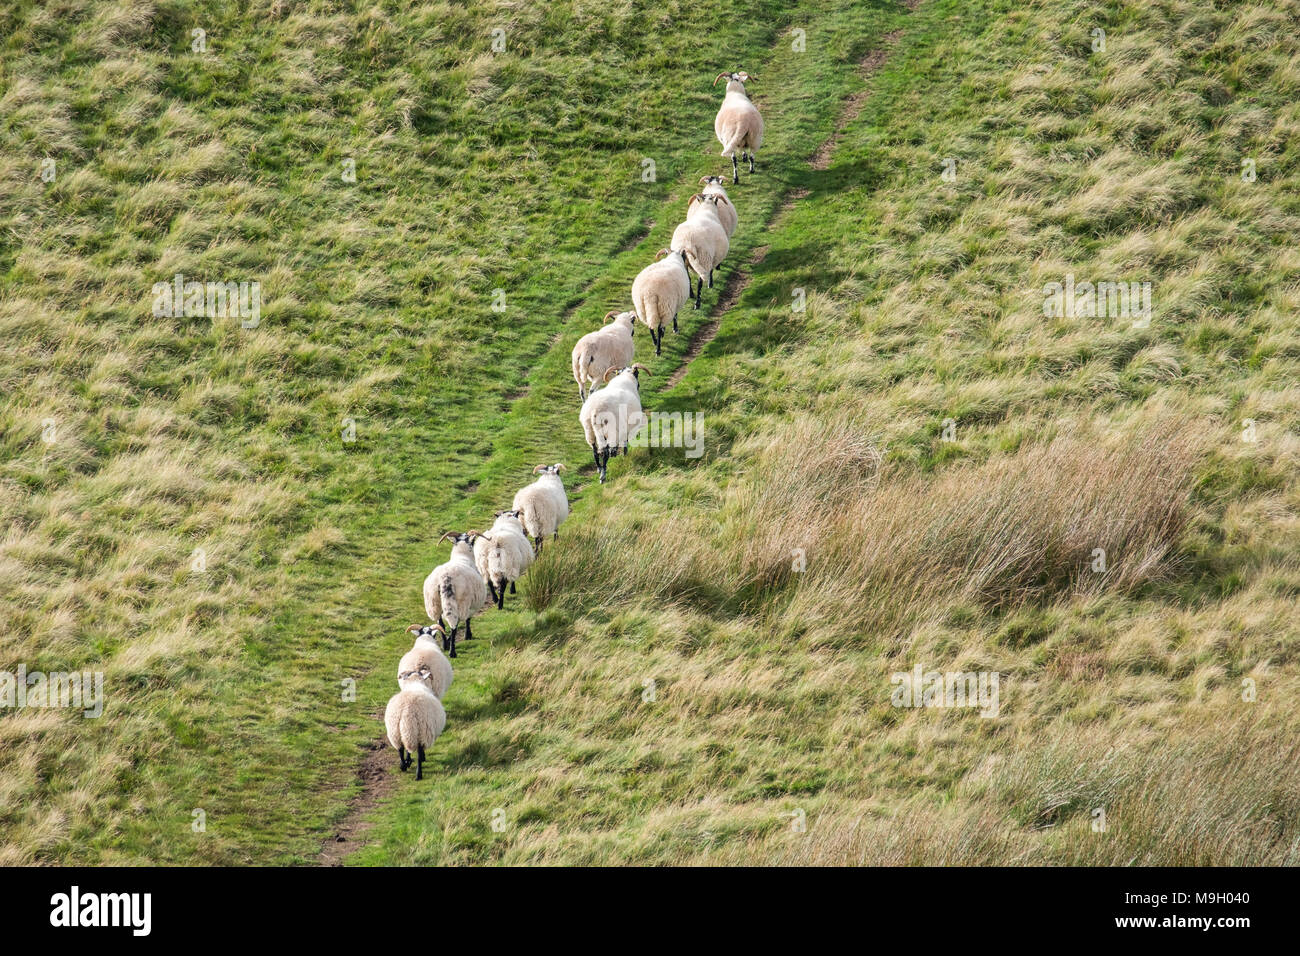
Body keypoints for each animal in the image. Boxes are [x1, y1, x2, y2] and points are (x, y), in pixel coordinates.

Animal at [423, 530, 488, 658]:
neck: (462, 556)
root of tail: (445, 578)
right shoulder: (470, 605)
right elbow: (468, 619)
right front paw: (468, 635)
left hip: (434, 602)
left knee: (441, 624)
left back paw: (445, 646)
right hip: (460, 601)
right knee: (454, 625)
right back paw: (452, 652)